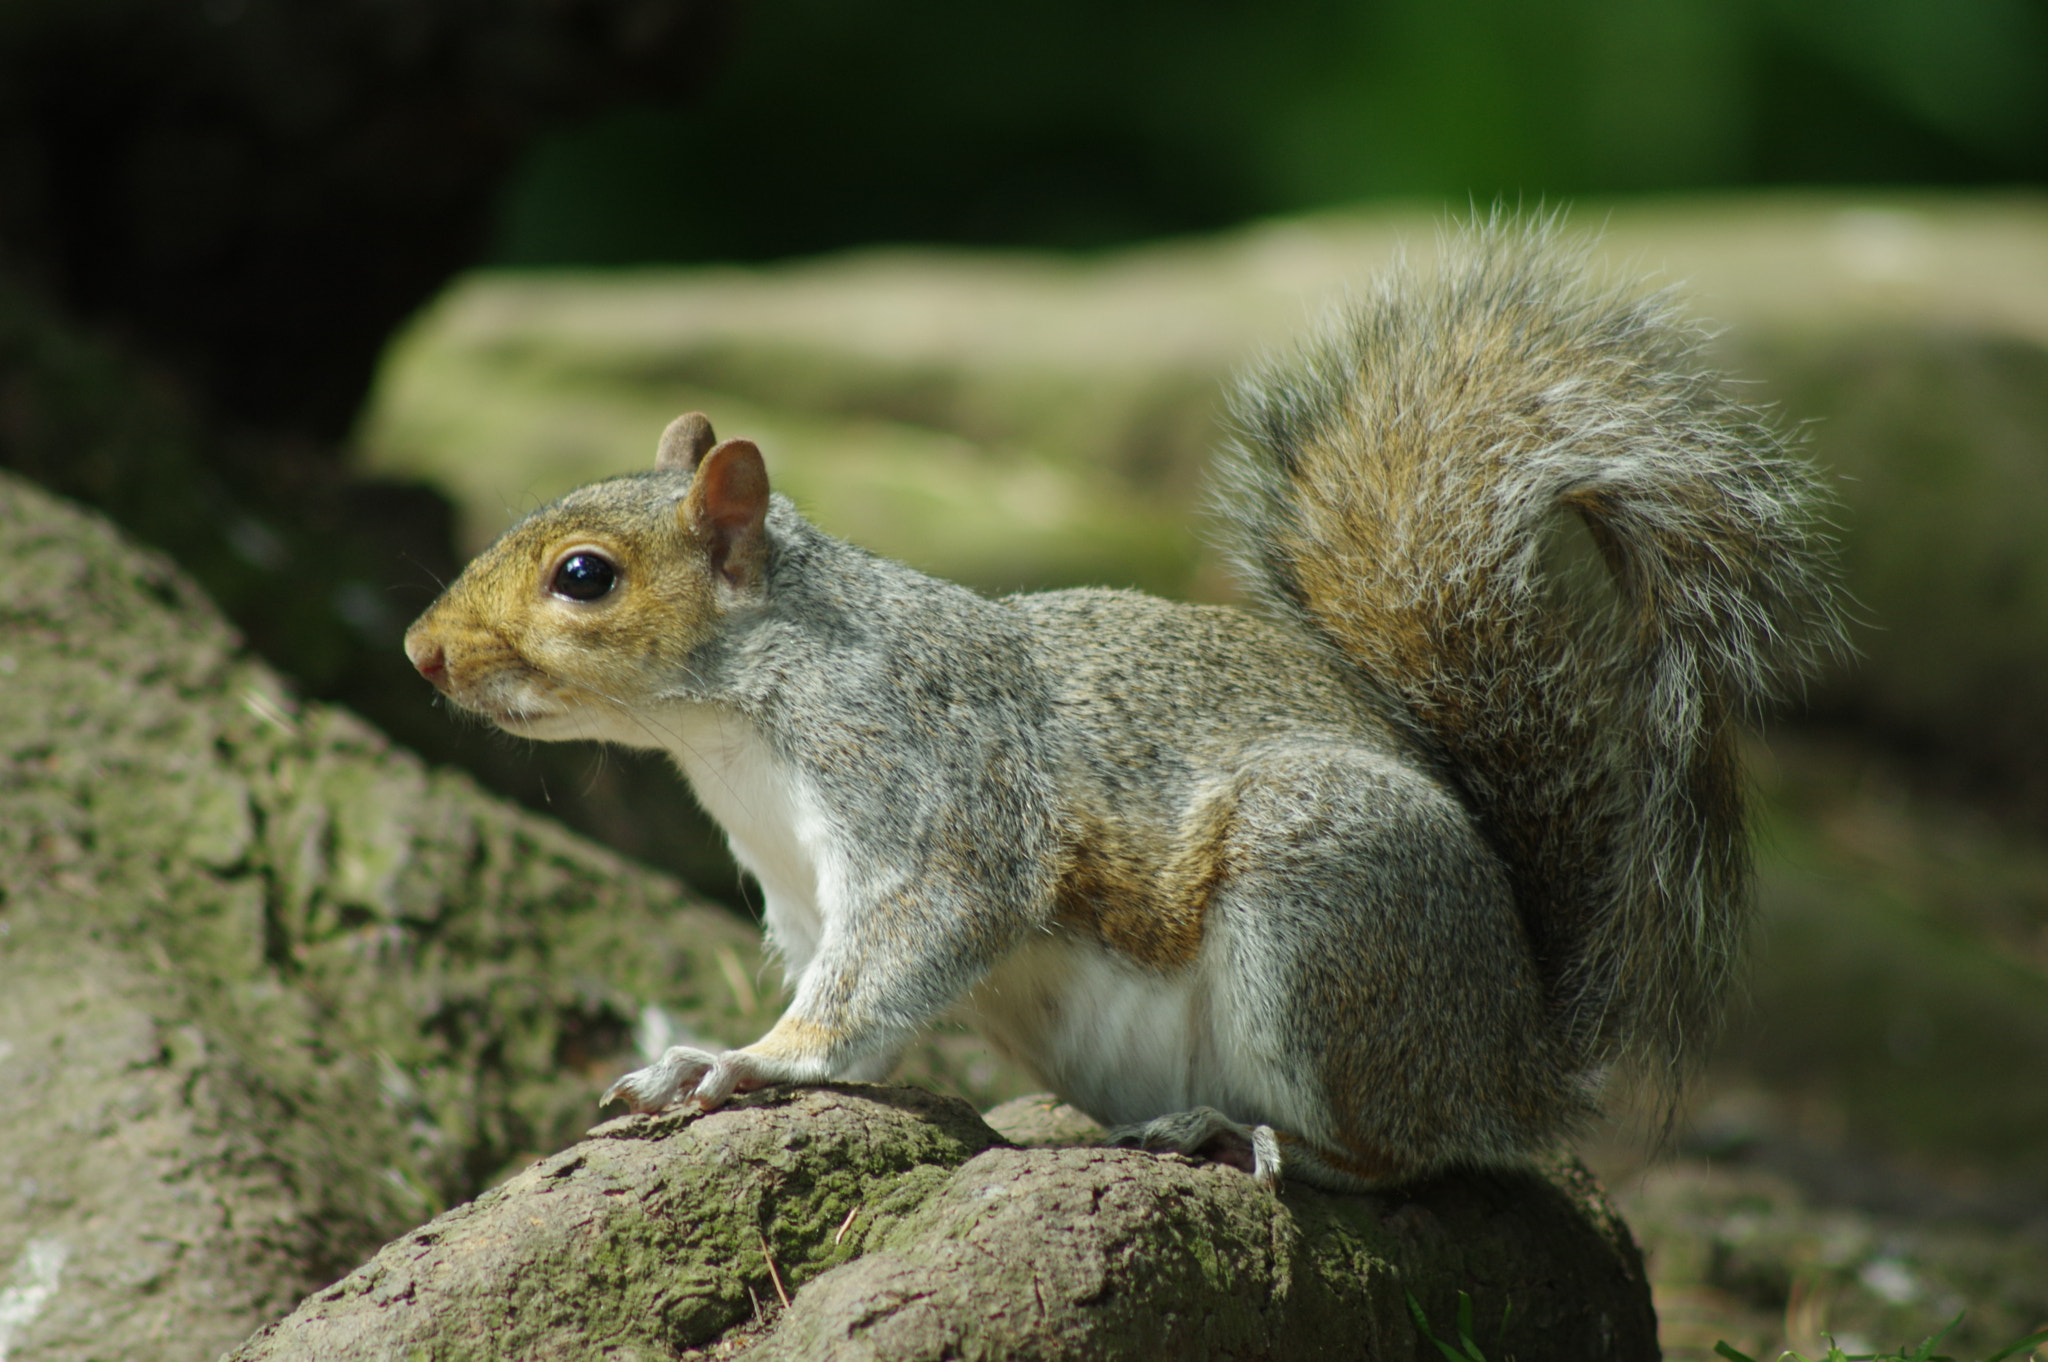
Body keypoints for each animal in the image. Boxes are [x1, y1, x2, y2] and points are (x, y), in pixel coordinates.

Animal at [395, 218, 1843, 1187]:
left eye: (585, 576)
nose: (420, 652)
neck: (736, 721)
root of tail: (1516, 1058)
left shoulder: (932, 802)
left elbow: (884, 971)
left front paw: (743, 1061)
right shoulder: (800, 896)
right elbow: (859, 997)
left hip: (1322, 905)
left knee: (1392, 1154)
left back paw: (1235, 1130)